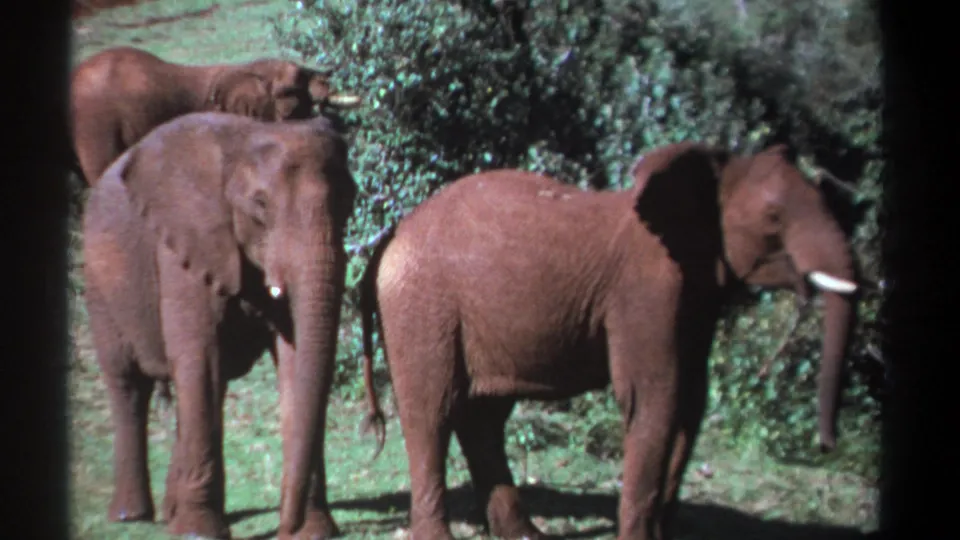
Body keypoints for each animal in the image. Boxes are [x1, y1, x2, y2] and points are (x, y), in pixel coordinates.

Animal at [82, 110, 360, 539]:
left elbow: (293, 362)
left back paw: (170, 513)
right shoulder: (184, 246)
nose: (285, 528)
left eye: (350, 202)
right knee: (129, 384)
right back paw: (133, 516)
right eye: (260, 205)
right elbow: (200, 359)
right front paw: (199, 532)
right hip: (100, 284)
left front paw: (314, 530)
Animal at [355, 142, 859, 540]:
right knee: (432, 412)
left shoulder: (694, 300)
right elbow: (655, 399)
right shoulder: (645, 293)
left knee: (484, 417)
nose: (828, 446)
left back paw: (526, 535)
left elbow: (689, 404)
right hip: (422, 305)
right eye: (774, 217)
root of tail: (393, 234)